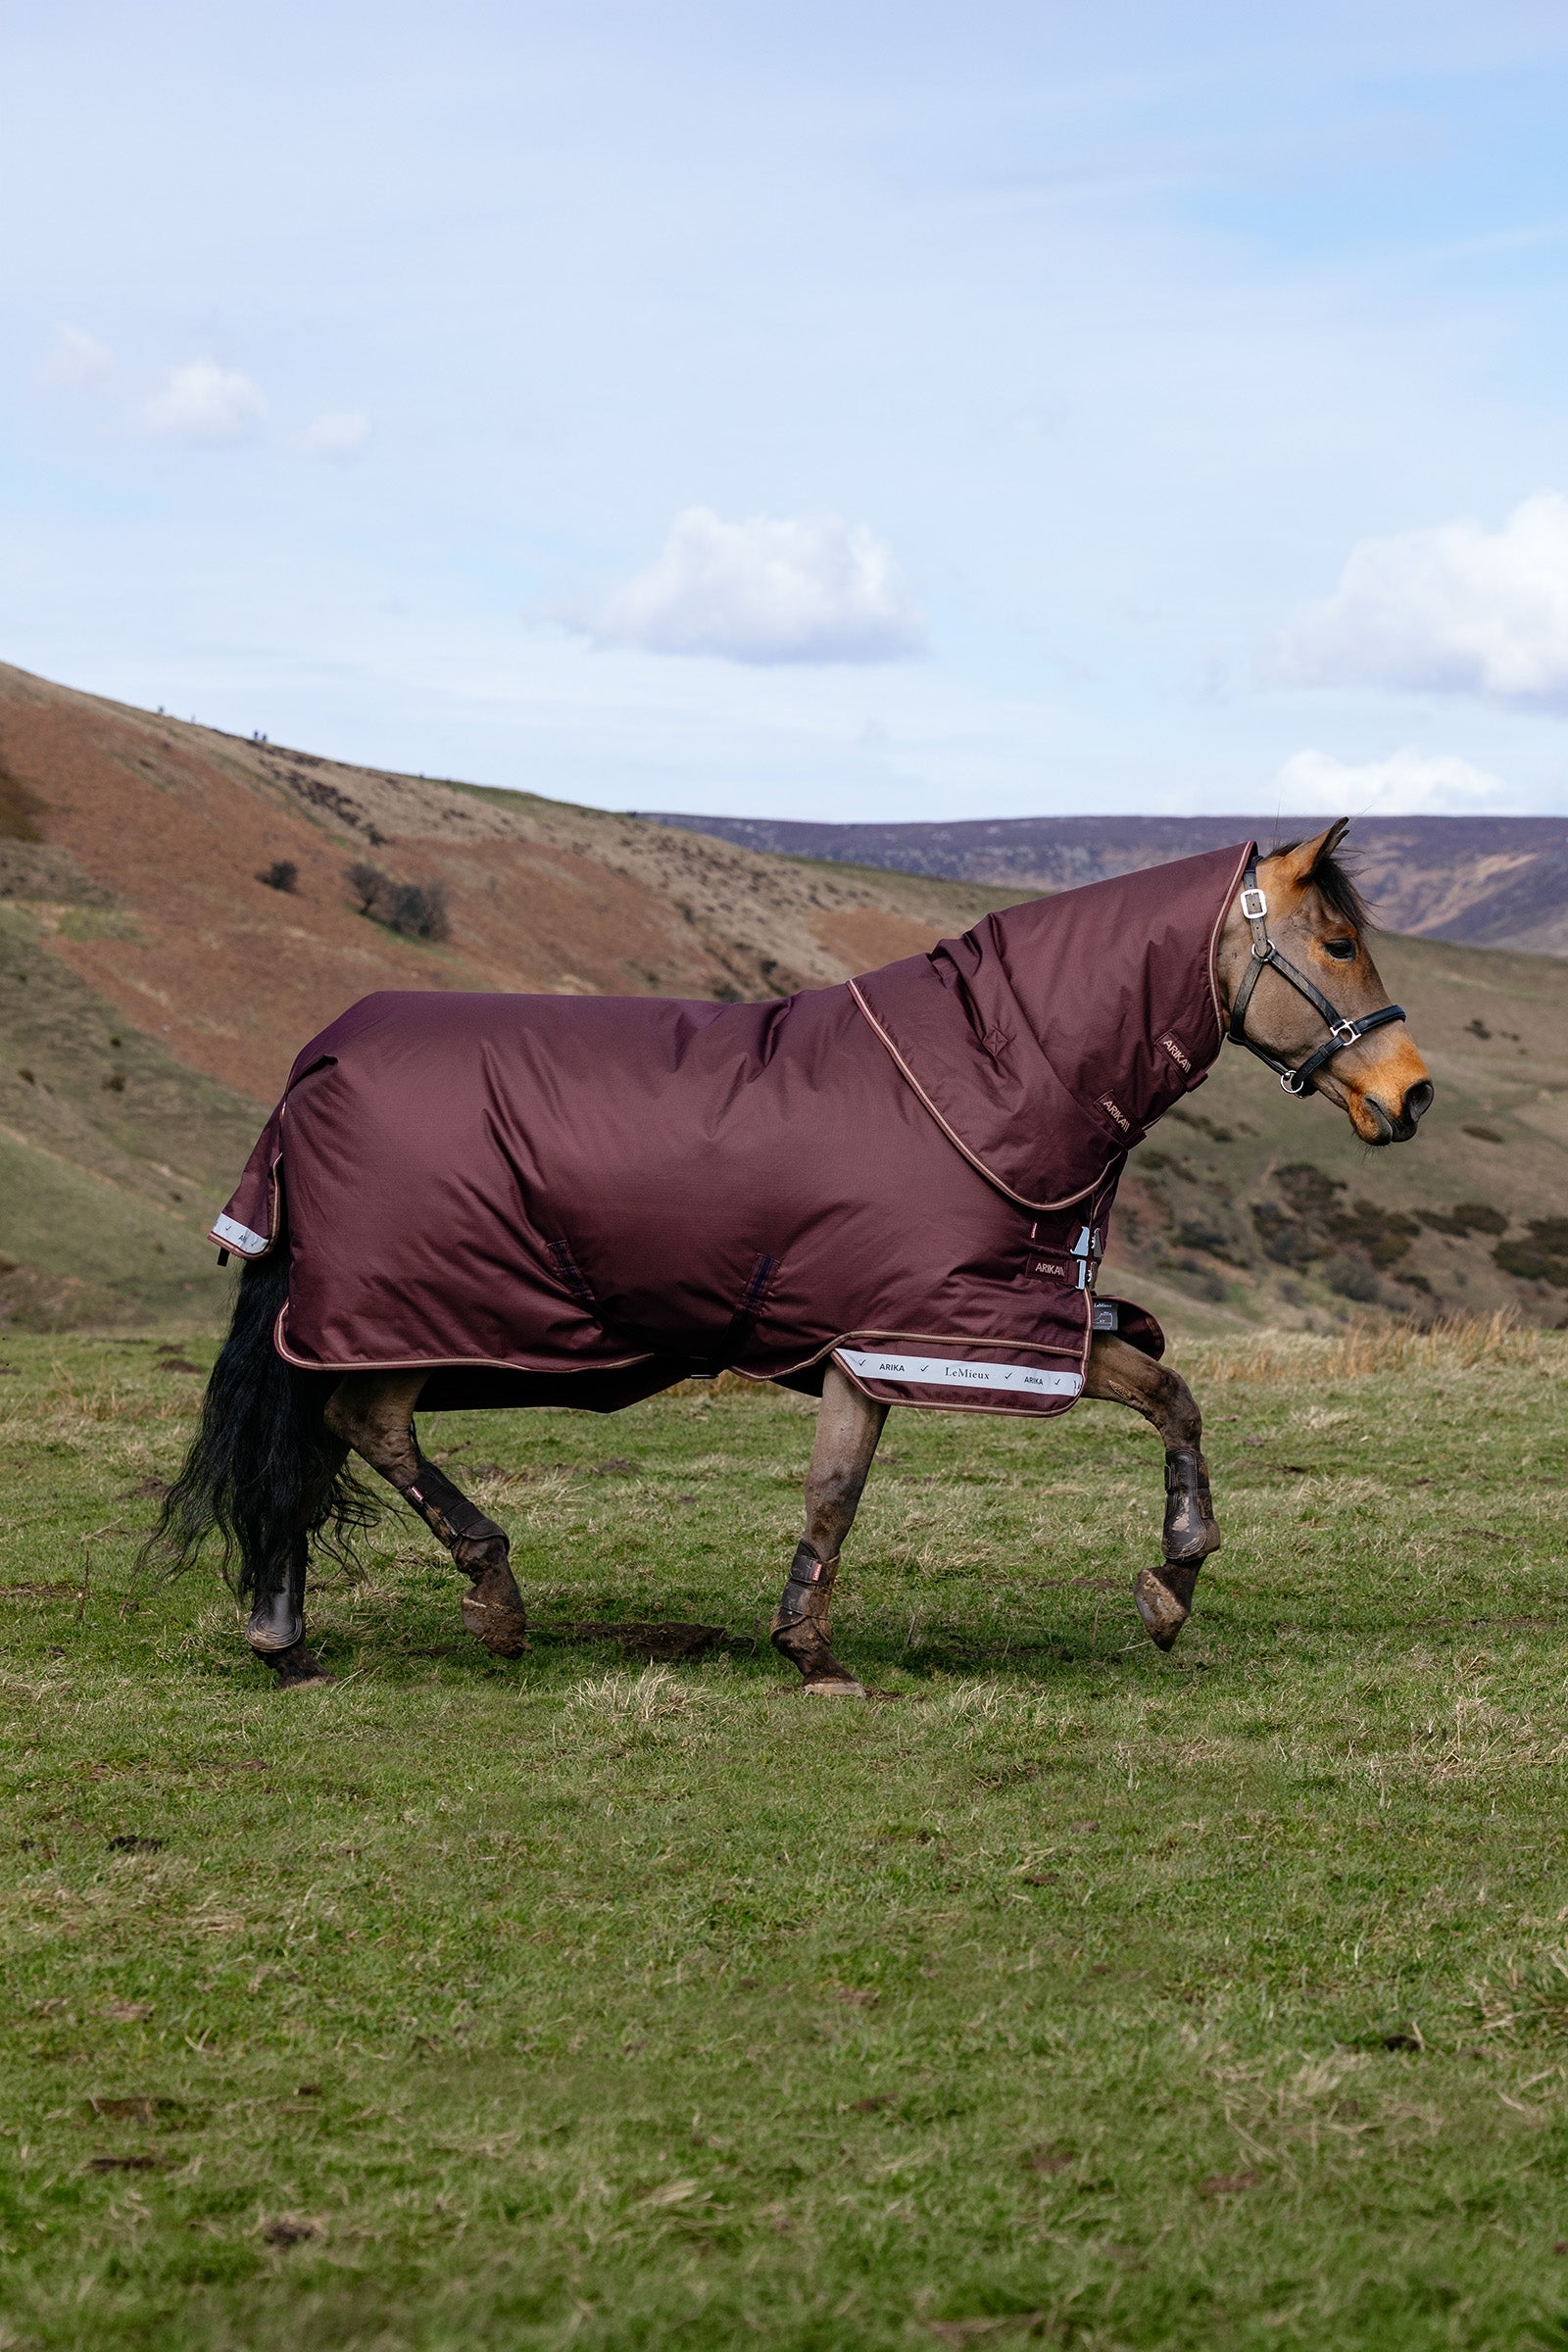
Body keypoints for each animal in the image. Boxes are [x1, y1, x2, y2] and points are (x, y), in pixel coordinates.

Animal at [152, 822, 1431, 1693]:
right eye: (1336, 941)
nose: (1410, 1094)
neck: (996, 1073)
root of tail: (321, 1057)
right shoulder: (923, 1330)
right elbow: (845, 1490)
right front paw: (817, 1654)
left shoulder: (949, 1332)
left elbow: (1165, 1401)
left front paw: (1169, 1587)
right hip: (404, 1310)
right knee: (350, 1427)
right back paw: (481, 1599)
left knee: (325, 1437)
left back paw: (295, 1636)